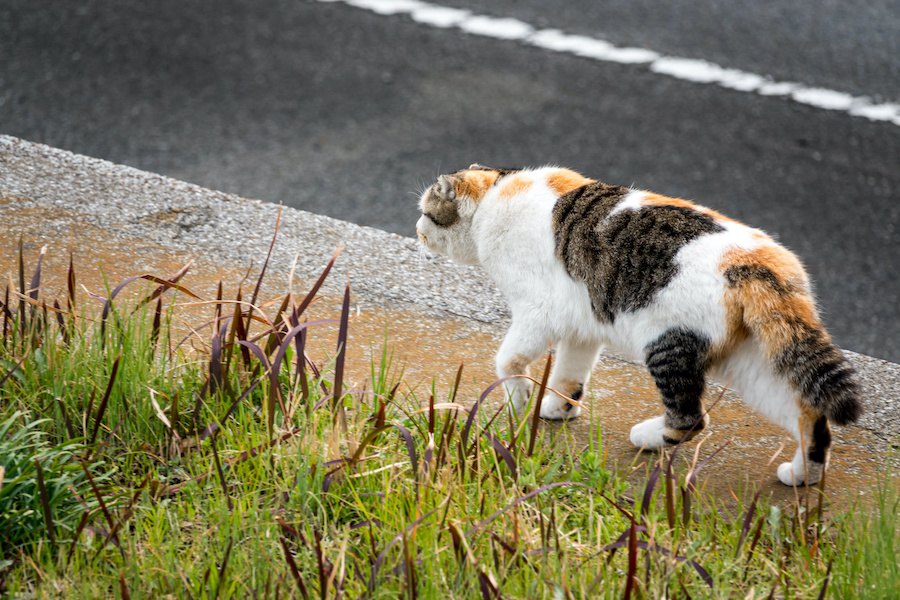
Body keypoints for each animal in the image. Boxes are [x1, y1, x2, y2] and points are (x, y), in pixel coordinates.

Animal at [418, 164, 860, 488]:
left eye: (426, 213)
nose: (417, 229)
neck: (496, 194)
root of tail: (761, 263)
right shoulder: (581, 327)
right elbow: (568, 374)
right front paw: (560, 408)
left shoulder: (536, 312)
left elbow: (508, 361)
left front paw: (519, 400)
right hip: (752, 367)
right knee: (808, 416)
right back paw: (802, 475)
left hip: (667, 343)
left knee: (690, 417)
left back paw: (647, 437)